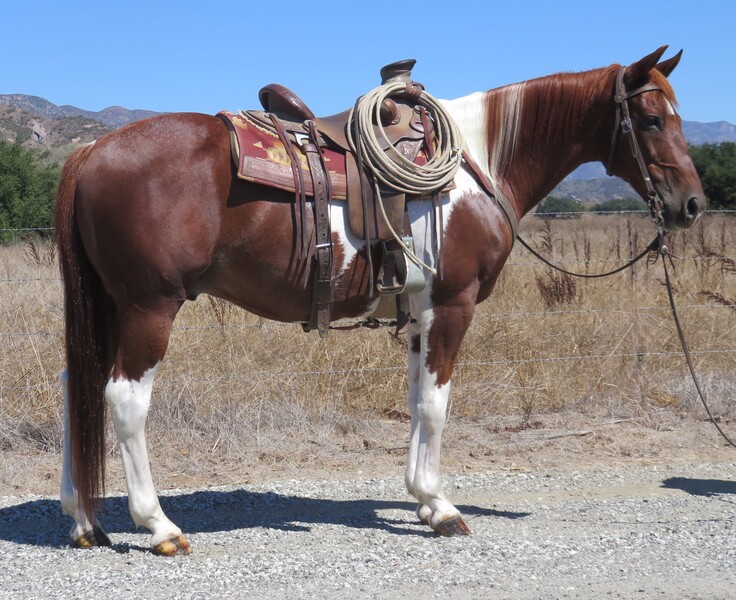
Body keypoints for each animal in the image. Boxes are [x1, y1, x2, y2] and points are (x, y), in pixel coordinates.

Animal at [56, 45, 700, 552]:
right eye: (648, 119)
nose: (691, 204)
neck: (477, 167)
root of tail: (93, 150)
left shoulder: (419, 317)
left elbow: (417, 402)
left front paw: (423, 500)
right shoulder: (452, 305)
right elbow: (437, 406)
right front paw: (443, 509)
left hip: (110, 307)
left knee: (79, 388)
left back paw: (85, 521)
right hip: (150, 307)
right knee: (123, 400)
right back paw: (159, 526)